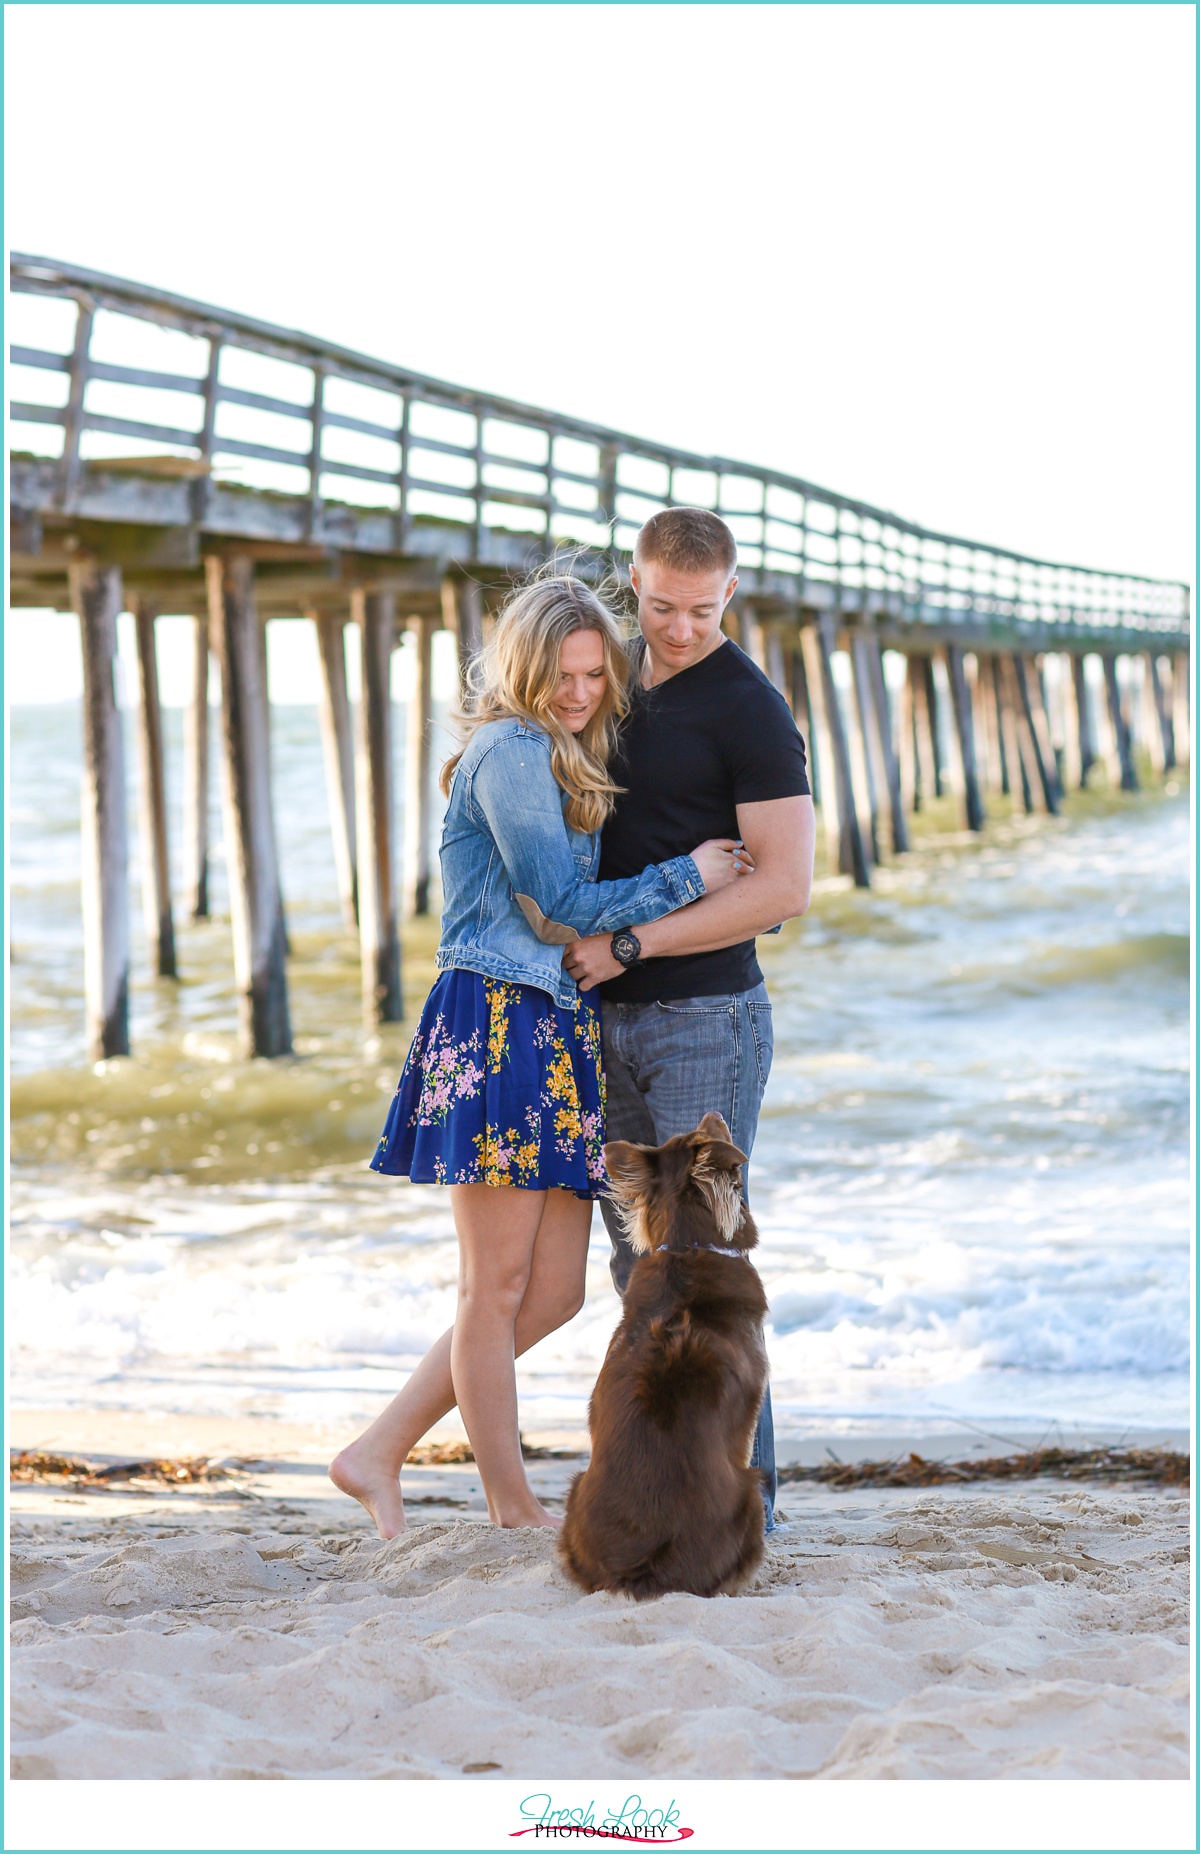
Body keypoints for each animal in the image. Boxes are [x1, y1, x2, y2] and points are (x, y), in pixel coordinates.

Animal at [560, 1104, 775, 1601]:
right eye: (704, 1131)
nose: (713, 1109)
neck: (686, 1245)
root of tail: (639, 1571)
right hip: (749, 1491)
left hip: (576, 1488)